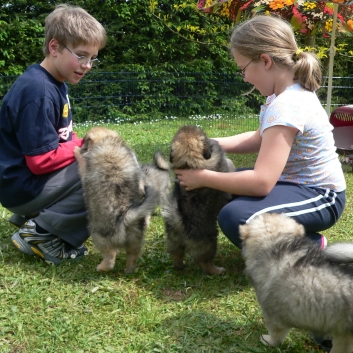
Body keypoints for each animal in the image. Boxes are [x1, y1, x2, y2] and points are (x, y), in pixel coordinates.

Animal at [74, 126, 160, 272]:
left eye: (84, 140)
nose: (80, 142)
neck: (109, 141)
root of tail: (127, 215)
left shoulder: (85, 164)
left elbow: (81, 158)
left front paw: (75, 149)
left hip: (98, 235)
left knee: (110, 256)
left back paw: (101, 267)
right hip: (135, 237)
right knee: (132, 255)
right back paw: (129, 270)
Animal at [161, 124, 235, 276]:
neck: (188, 161)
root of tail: (180, 223)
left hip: (174, 239)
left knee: (177, 254)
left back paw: (180, 266)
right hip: (209, 240)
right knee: (204, 261)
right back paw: (217, 271)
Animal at [239, 212, 353, 352]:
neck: (275, 242)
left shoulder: (273, 317)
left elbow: (276, 334)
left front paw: (268, 341)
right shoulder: (343, 331)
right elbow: (342, 347)